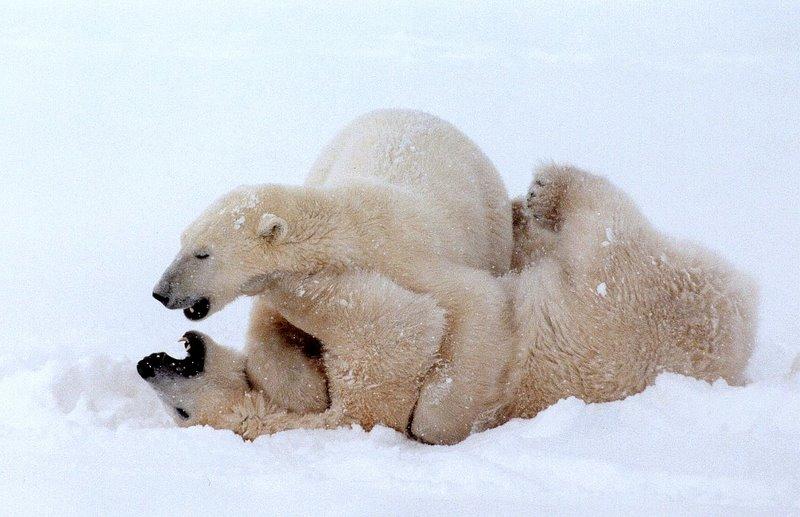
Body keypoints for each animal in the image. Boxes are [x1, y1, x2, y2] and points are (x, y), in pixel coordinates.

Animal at [147, 110, 516, 444]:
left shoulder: (406, 258)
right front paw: (309, 391)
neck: (343, 230)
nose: (161, 293)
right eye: (182, 241)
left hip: (491, 217)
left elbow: (476, 299)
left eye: (202, 253)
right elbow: (268, 333)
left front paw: (432, 423)